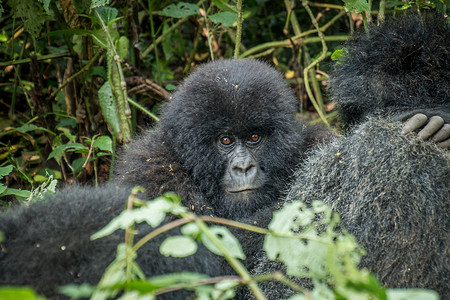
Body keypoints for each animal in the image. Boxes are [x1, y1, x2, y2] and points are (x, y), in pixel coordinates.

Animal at [0, 59, 320, 298]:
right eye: (226, 140)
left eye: (255, 138)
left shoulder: (309, 142)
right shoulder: (153, 173)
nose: (243, 167)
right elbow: (199, 262)